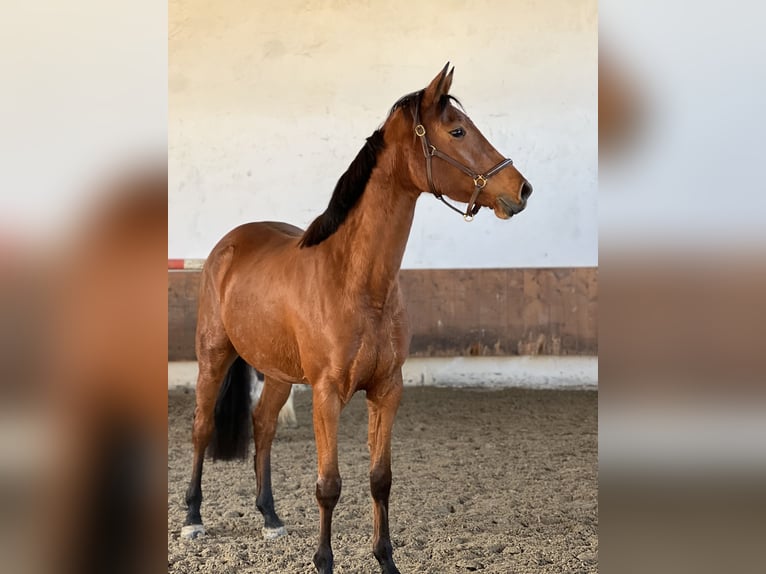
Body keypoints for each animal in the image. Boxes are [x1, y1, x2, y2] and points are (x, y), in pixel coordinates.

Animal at [182, 64, 532, 574]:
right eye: (457, 131)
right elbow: (328, 485)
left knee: (263, 425)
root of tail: (228, 244)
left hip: (278, 373)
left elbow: (380, 478)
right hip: (214, 356)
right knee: (202, 428)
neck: (358, 281)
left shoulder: (387, 390)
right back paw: (192, 518)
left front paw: (386, 560)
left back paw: (270, 518)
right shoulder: (326, 394)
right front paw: (324, 561)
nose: (522, 189)